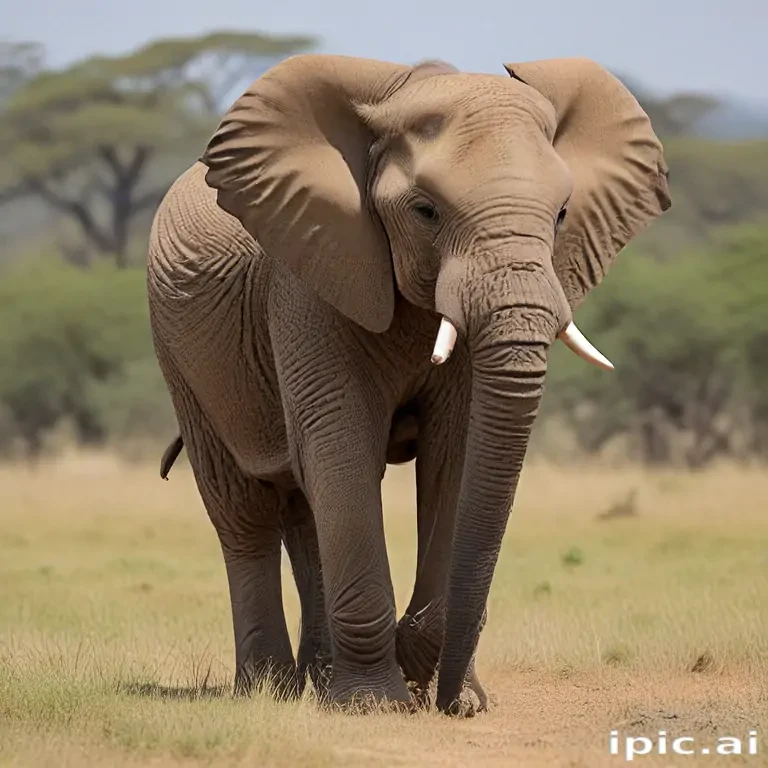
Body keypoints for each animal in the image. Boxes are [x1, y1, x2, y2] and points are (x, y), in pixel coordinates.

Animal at [146, 53, 670, 716]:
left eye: (560, 215)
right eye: (426, 212)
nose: (446, 702)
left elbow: (457, 453)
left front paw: (449, 691)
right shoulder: (309, 276)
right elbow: (342, 446)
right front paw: (375, 704)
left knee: (303, 507)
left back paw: (318, 681)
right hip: (180, 354)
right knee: (245, 509)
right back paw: (269, 689)